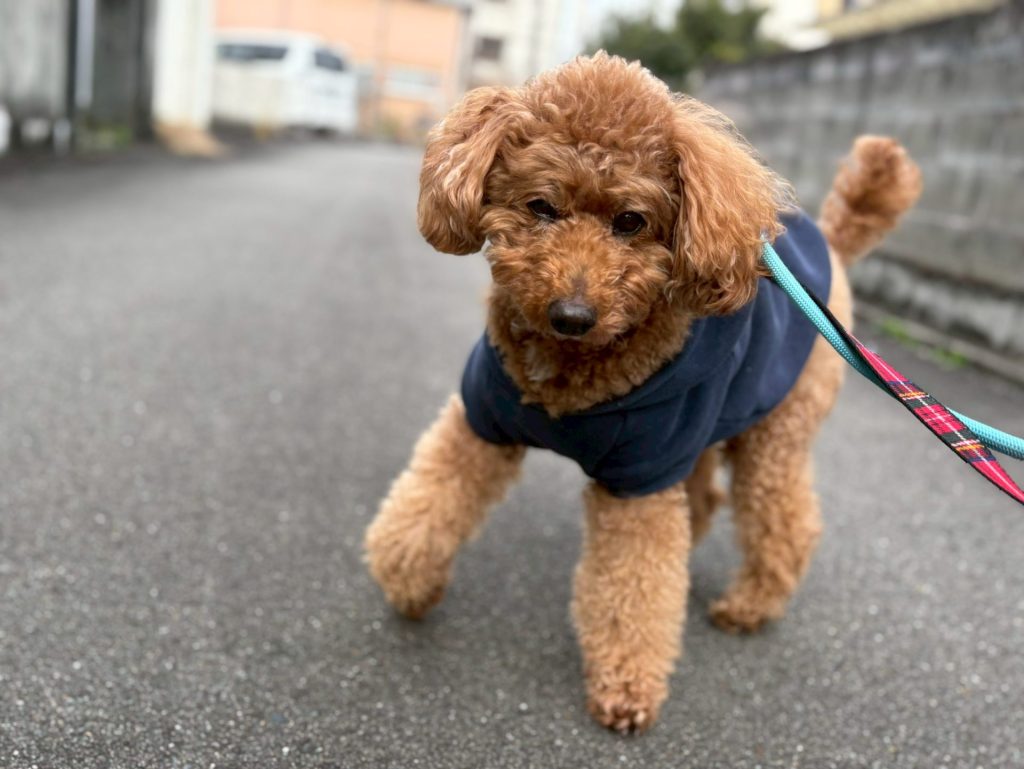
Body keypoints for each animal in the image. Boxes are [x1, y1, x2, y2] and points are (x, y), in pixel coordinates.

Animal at [364, 53, 921, 733]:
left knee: (785, 520)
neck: (569, 375)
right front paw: (410, 582)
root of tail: (833, 249)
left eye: (630, 221)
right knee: (705, 496)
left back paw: (750, 606)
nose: (572, 314)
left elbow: (634, 587)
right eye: (541, 206)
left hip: (771, 429)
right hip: (704, 420)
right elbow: (429, 500)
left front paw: (627, 687)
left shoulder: (643, 471)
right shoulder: (486, 418)